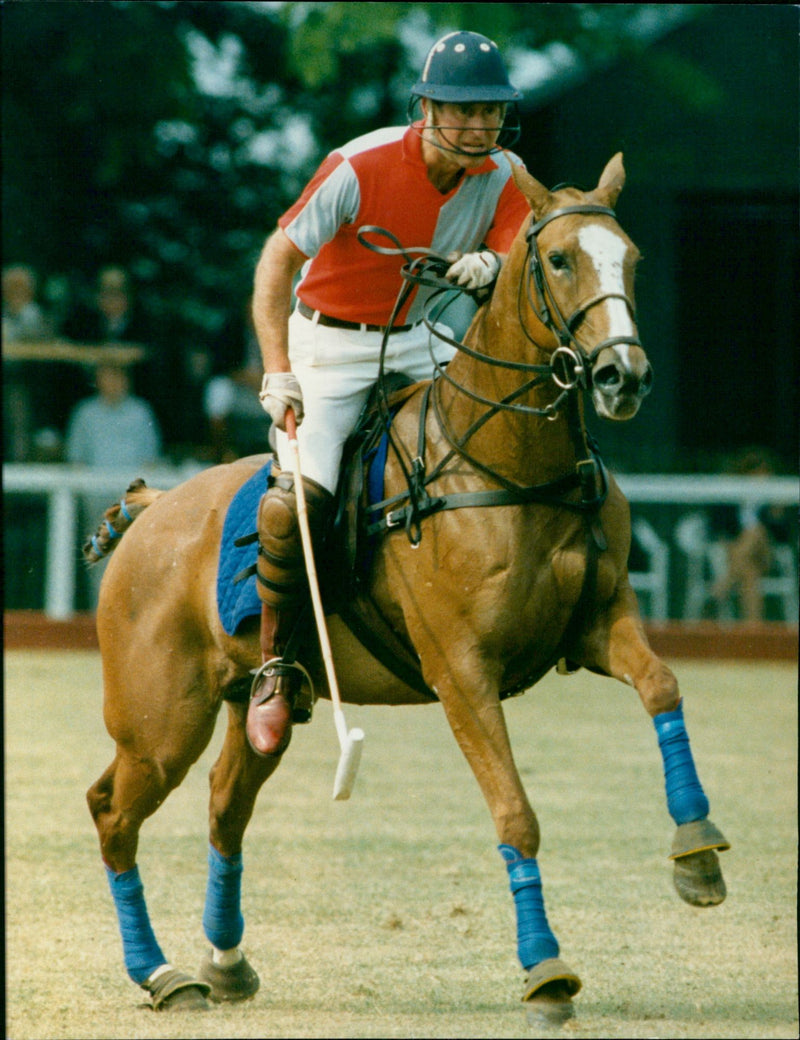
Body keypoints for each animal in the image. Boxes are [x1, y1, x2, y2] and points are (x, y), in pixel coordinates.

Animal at [85, 156, 724, 1023]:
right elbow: (515, 812)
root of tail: (151, 512)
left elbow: (662, 684)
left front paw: (698, 854)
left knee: (225, 800)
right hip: (158, 721)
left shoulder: (597, 622)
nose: (625, 376)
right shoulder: (462, 672)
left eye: (632, 258)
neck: (509, 464)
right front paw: (547, 972)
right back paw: (161, 973)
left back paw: (226, 963)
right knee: (114, 811)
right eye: (560, 260)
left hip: (252, 707)